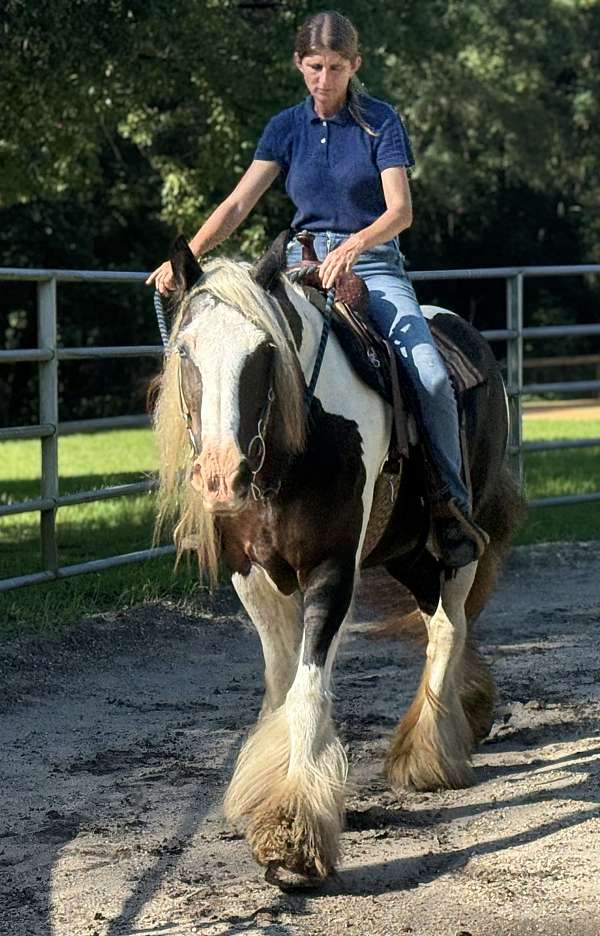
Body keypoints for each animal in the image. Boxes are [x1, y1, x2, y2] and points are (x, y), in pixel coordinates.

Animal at [152, 243, 524, 892]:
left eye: (264, 351)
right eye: (186, 350)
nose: (221, 475)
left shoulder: (331, 568)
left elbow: (306, 687)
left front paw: (293, 834)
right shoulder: (251, 573)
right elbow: (279, 679)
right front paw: (262, 791)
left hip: (453, 541)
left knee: (447, 628)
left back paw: (426, 755)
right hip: (404, 551)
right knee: (444, 623)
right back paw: (466, 713)